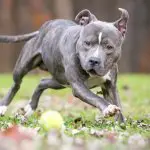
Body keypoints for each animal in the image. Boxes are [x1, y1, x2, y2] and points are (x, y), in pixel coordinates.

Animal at [0, 7, 129, 122]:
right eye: (87, 43)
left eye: (109, 47)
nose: (94, 60)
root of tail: (41, 29)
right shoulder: (78, 86)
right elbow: (95, 97)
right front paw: (108, 108)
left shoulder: (110, 86)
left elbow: (118, 105)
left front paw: (121, 124)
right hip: (23, 67)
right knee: (16, 84)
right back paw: (3, 107)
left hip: (60, 81)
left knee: (42, 82)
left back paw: (31, 107)